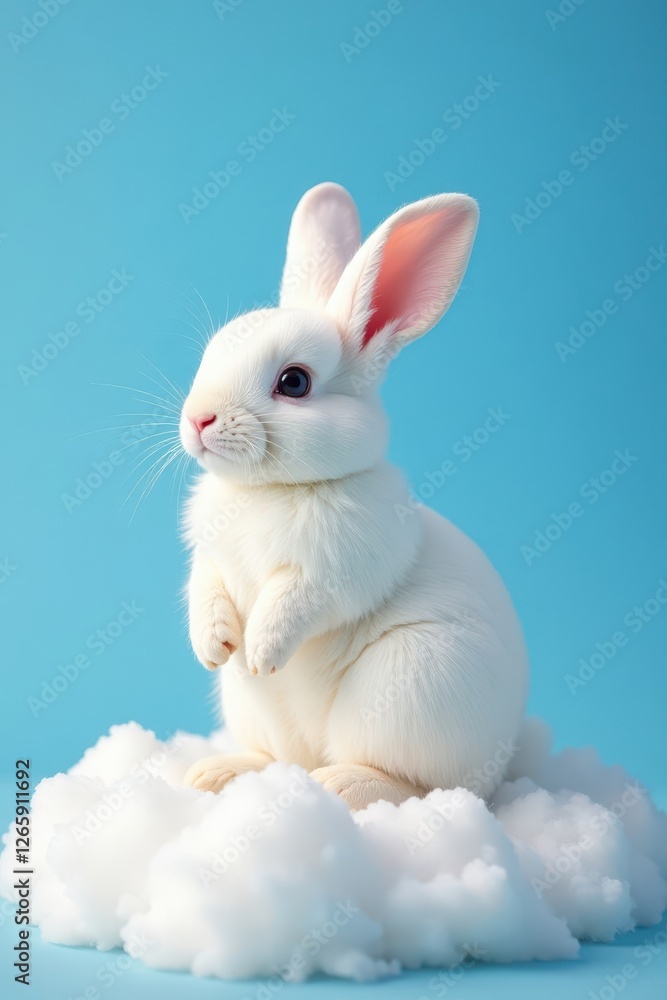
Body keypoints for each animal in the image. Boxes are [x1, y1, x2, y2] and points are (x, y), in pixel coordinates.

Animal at [180, 182, 528, 810]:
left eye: (294, 382)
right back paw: (217, 774)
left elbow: (294, 604)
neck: (272, 491)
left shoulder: (330, 573)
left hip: (407, 684)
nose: (198, 419)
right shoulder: (210, 560)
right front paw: (216, 645)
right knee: (275, 758)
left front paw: (262, 652)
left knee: (416, 785)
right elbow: (207, 591)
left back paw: (343, 784)